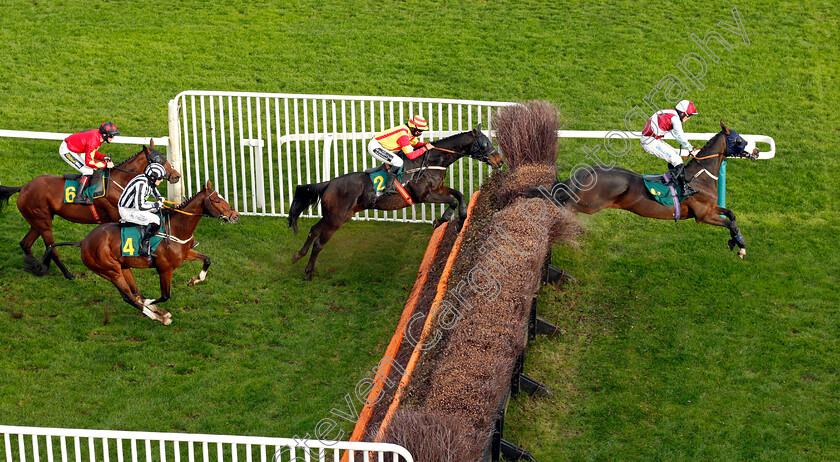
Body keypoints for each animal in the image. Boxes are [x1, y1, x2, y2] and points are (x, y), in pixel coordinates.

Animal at [0, 141, 182, 278]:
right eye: (158, 160)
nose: (176, 176)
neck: (119, 182)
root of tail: (23, 187)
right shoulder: (118, 216)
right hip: (43, 223)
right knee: (52, 249)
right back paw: (67, 274)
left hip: (38, 221)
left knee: (25, 243)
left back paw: (35, 266)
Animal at [31, 180, 238, 324]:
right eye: (217, 200)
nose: (235, 215)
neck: (177, 229)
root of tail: (83, 242)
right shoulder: (164, 269)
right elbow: (165, 295)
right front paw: (153, 305)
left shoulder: (185, 253)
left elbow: (207, 259)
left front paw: (195, 280)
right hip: (110, 271)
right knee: (129, 297)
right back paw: (158, 316)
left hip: (124, 267)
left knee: (135, 292)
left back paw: (158, 312)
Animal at [288, 124, 502, 280]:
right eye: (484, 144)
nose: (499, 161)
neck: (432, 160)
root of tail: (328, 184)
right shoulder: (423, 195)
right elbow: (452, 201)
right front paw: (441, 220)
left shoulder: (437, 189)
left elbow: (459, 195)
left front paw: (461, 220)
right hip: (337, 218)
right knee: (319, 242)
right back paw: (308, 273)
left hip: (333, 215)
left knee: (313, 230)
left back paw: (297, 256)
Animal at [532, 121, 760, 258]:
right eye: (739, 140)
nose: (757, 151)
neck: (699, 177)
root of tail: (590, 171)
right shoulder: (703, 215)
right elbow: (729, 223)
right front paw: (739, 245)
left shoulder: (712, 207)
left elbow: (732, 216)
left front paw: (737, 243)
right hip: (588, 204)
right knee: (562, 204)